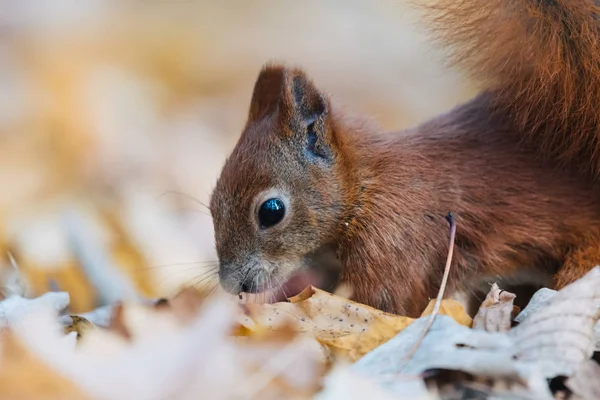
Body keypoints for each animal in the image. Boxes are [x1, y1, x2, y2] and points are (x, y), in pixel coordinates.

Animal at [209, 0, 600, 318]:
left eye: (271, 211)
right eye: (212, 204)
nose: (232, 285)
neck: (365, 189)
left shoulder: (394, 246)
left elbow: (382, 305)